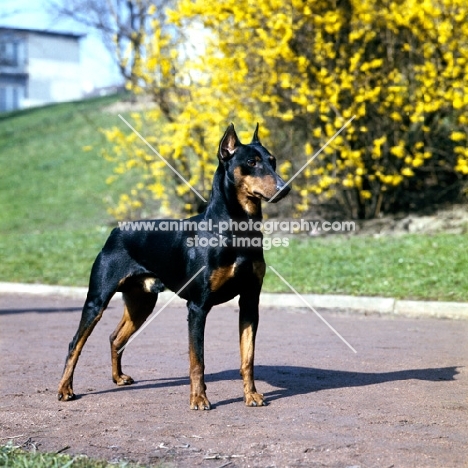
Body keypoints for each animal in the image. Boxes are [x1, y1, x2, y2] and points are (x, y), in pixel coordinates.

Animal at [57, 123, 290, 410]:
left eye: (273, 160)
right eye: (251, 162)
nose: (284, 188)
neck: (236, 231)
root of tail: (116, 230)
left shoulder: (249, 301)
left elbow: (248, 357)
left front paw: (252, 395)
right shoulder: (198, 307)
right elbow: (197, 360)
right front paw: (199, 399)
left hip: (142, 302)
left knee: (115, 337)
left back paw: (118, 377)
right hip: (97, 300)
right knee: (75, 344)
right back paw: (65, 389)